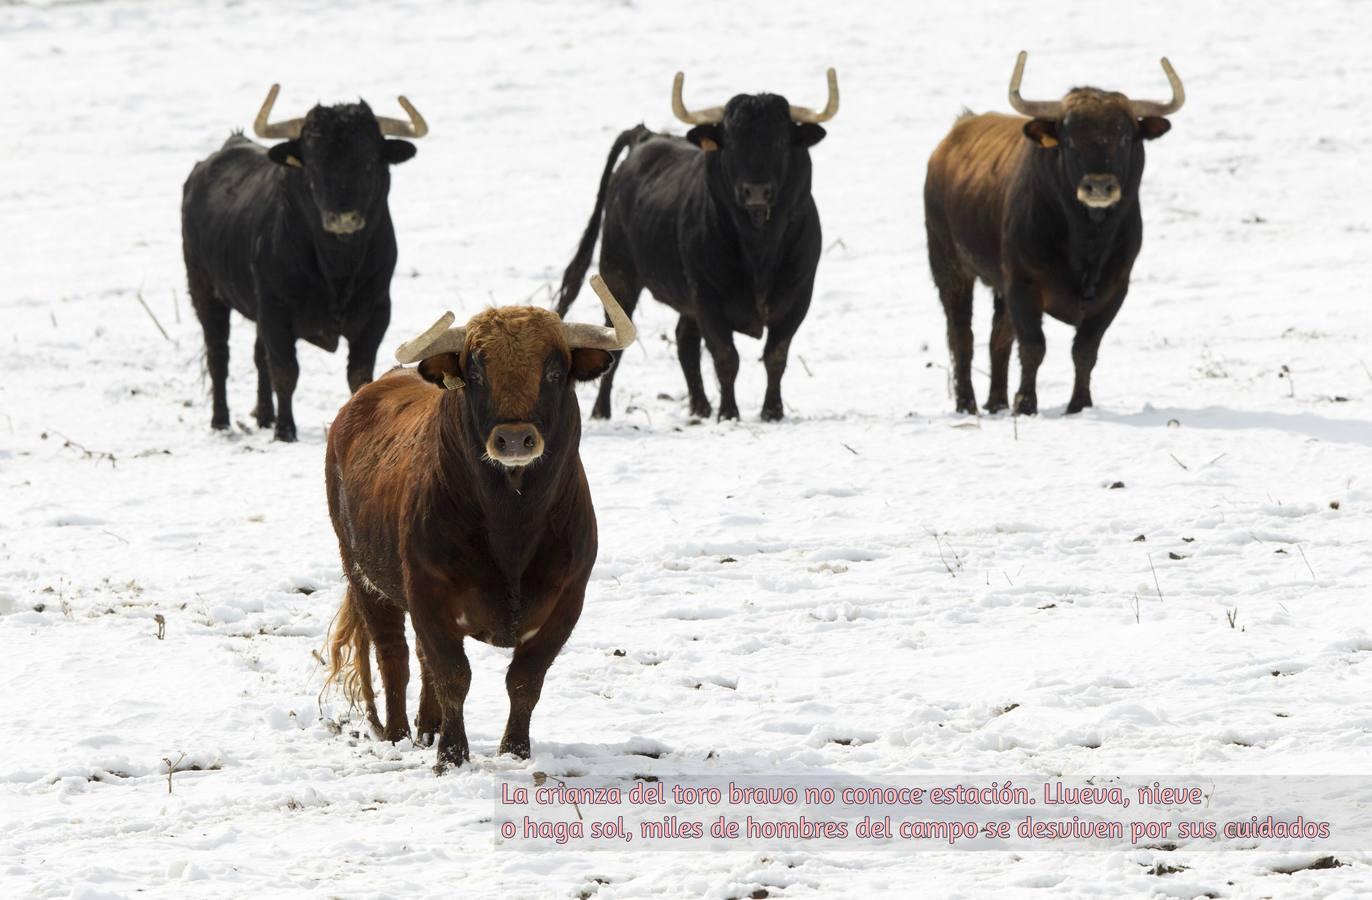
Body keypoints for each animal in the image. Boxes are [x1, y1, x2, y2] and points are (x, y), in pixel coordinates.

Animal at [182, 82, 425, 441]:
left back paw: (263, 416)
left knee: (258, 356)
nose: (343, 218)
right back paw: (221, 421)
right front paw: (285, 430)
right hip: (205, 291)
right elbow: (286, 371)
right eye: (313, 165)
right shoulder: (276, 310)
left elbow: (359, 373)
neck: (338, 268)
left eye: (370, 161)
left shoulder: (377, 310)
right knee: (219, 356)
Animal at [323, 277, 633, 768]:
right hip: (364, 577)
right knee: (395, 656)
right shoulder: (428, 591)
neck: (514, 526)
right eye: (476, 375)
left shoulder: (568, 599)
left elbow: (525, 679)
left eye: (554, 373)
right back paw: (398, 735)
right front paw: (452, 756)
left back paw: (427, 730)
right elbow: (454, 675)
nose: (514, 439)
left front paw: (515, 751)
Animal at [554, 69, 834, 422]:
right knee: (618, 342)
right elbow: (726, 356)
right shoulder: (707, 296)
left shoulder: (799, 295)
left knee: (685, 340)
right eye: (730, 144)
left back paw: (700, 406)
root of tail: (645, 137)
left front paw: (772, 411)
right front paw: (728, 413)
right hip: (618, 275)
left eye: (781, 142)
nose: (756, 192)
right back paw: (602, 411)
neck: (759, 249)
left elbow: (776, 355)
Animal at [927, 56, 1185, 417]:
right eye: (1070, 138)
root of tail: (951, 139)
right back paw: (968, 404)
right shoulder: (1023, 284)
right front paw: (1025, 404)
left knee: (997, 338)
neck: (1087, 242)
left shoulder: (1115, 290)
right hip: (950, 268)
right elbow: (1033, 346)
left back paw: (997, 402)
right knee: (961, 335)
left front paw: (1079, 404)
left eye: (1124, 136)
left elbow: (1085, 350)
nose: (1099, 186)